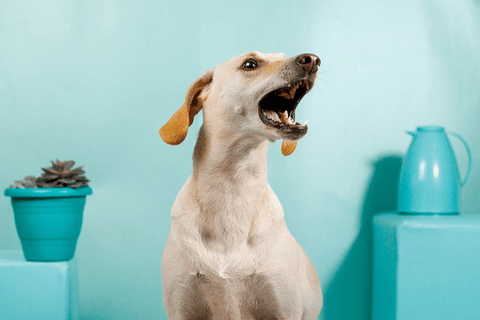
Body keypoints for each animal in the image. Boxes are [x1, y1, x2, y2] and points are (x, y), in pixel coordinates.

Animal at [159, 51, 320, 318]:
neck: (233, 186)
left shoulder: (283, 306)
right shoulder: (180, 305)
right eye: (250, 64)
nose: (313, 60)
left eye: (283, 56)